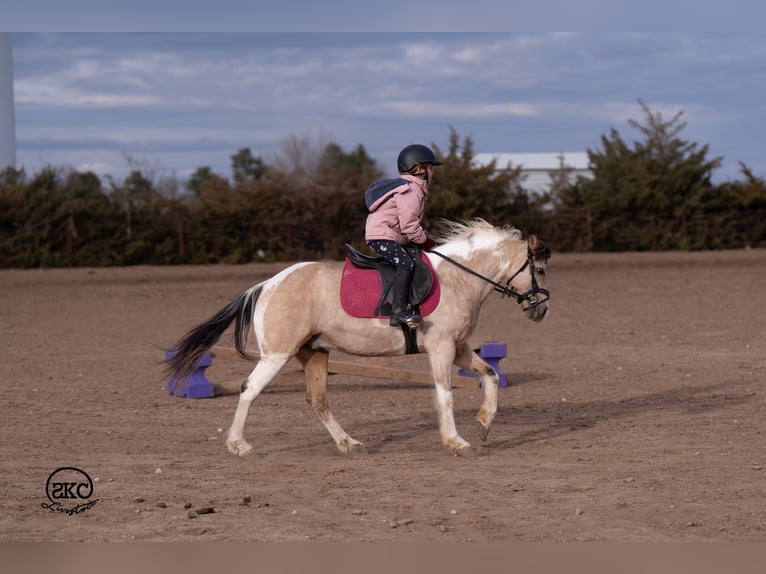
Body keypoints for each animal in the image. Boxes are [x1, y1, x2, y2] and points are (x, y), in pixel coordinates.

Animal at [166, 219, 551, 457]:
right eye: (541, 269)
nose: (542, 310)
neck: (460, 278)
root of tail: (268, 284)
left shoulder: (457, 348)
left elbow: (491, 375)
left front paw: (484, 424)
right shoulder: (441, 348)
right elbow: (445, 396)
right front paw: (456, 441)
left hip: (314, 353)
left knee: (318, 401)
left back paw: (349, 444)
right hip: (277, 355)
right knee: (249, 390)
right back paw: (239, 445)